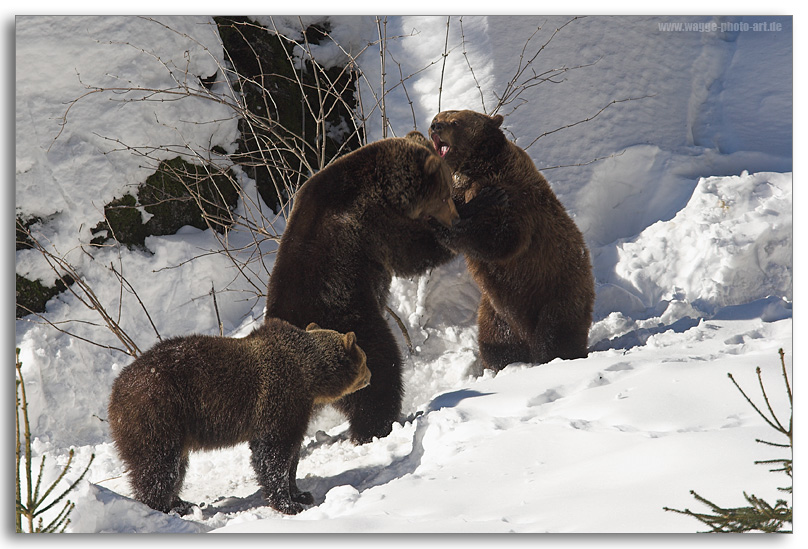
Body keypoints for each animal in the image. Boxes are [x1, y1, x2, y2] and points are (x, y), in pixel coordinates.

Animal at [107, 316, 370, 512]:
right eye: (365, 358)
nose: (371, 374)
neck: (309, 376)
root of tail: (115, 390)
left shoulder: (298, 408)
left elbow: (292, 453)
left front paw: (301, 493)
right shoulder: (278, 396)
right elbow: (272, 452)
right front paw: (287, 503)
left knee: (175, 467)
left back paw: (181, 503)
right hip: (157, 415)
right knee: (158, 468)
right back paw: (162, 507)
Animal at [266, 137, 460, 446]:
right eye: (443, 196)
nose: (454, 217)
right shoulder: (374, 224)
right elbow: (413, 251)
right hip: (353, 326)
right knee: (381, 373)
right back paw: (381, 426)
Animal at [430, 109, 592, 370]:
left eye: (455, 121)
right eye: (438, 116)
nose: (435, 126)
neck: (476, 168)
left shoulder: (513, 197)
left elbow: (502, 240)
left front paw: (450, 225)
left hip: (555, 293)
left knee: (554, 334)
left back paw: (554, 358)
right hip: (494, 313)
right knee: (497, 342)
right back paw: (504, 364)